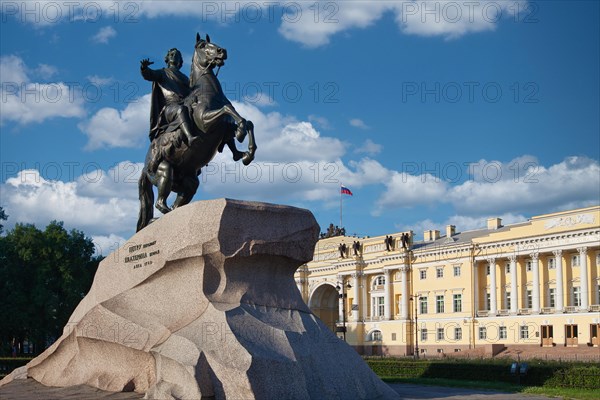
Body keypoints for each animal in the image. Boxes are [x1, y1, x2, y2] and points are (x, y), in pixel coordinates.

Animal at [137, 34, 256, 231]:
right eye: (202, 45)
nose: (222, 51)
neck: (208, 92)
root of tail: (144, 168)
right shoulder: (206, 121)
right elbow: (228, 110)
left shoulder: (224, 127)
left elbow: (246, 122)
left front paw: (246, 153)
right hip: (163, 170)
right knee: (160, 203)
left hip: (189, 183)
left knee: (177, 203)